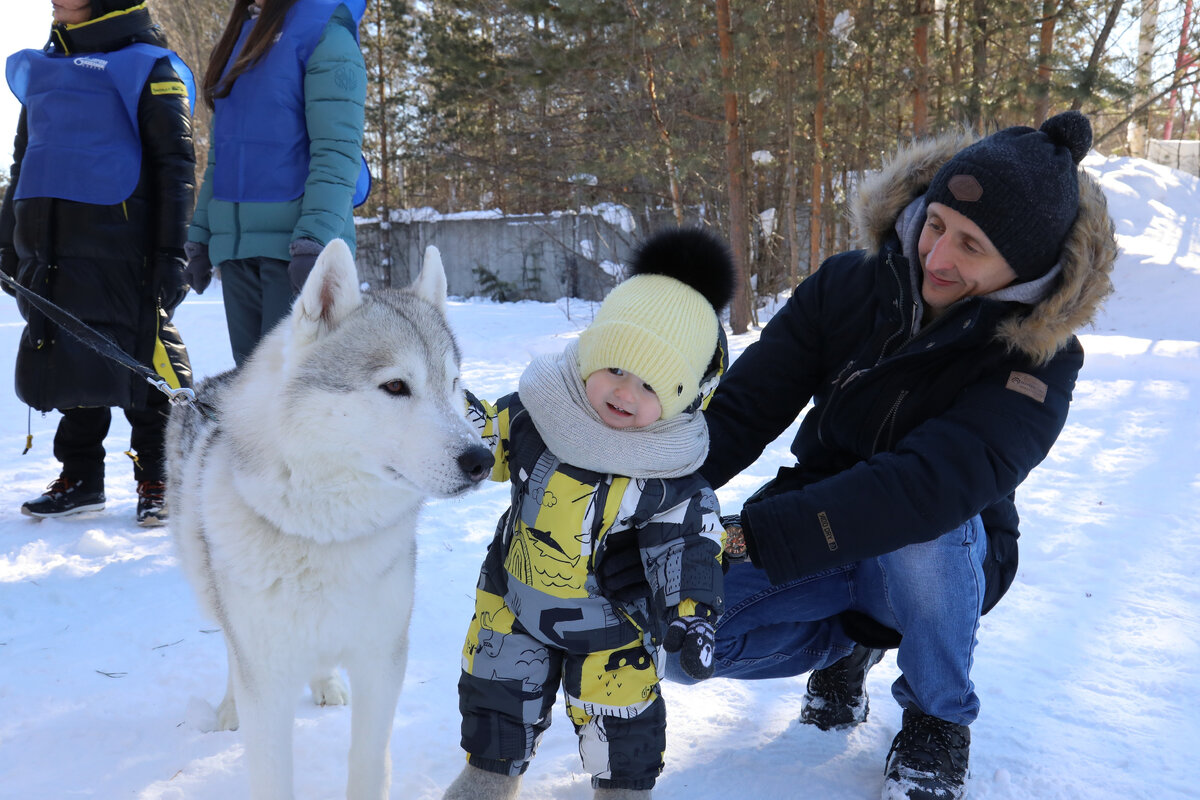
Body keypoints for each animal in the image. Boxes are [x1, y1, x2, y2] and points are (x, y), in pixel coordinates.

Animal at [164, 239, 492, 800]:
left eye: (453, 384)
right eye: (396, 386)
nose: (481, 460)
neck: (324, 534)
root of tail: (202, 389)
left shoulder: (383, 662)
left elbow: (368, 764)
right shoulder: (265, 677)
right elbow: (271, 771)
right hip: (210, 588)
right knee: (229, 649)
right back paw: (227, 708)